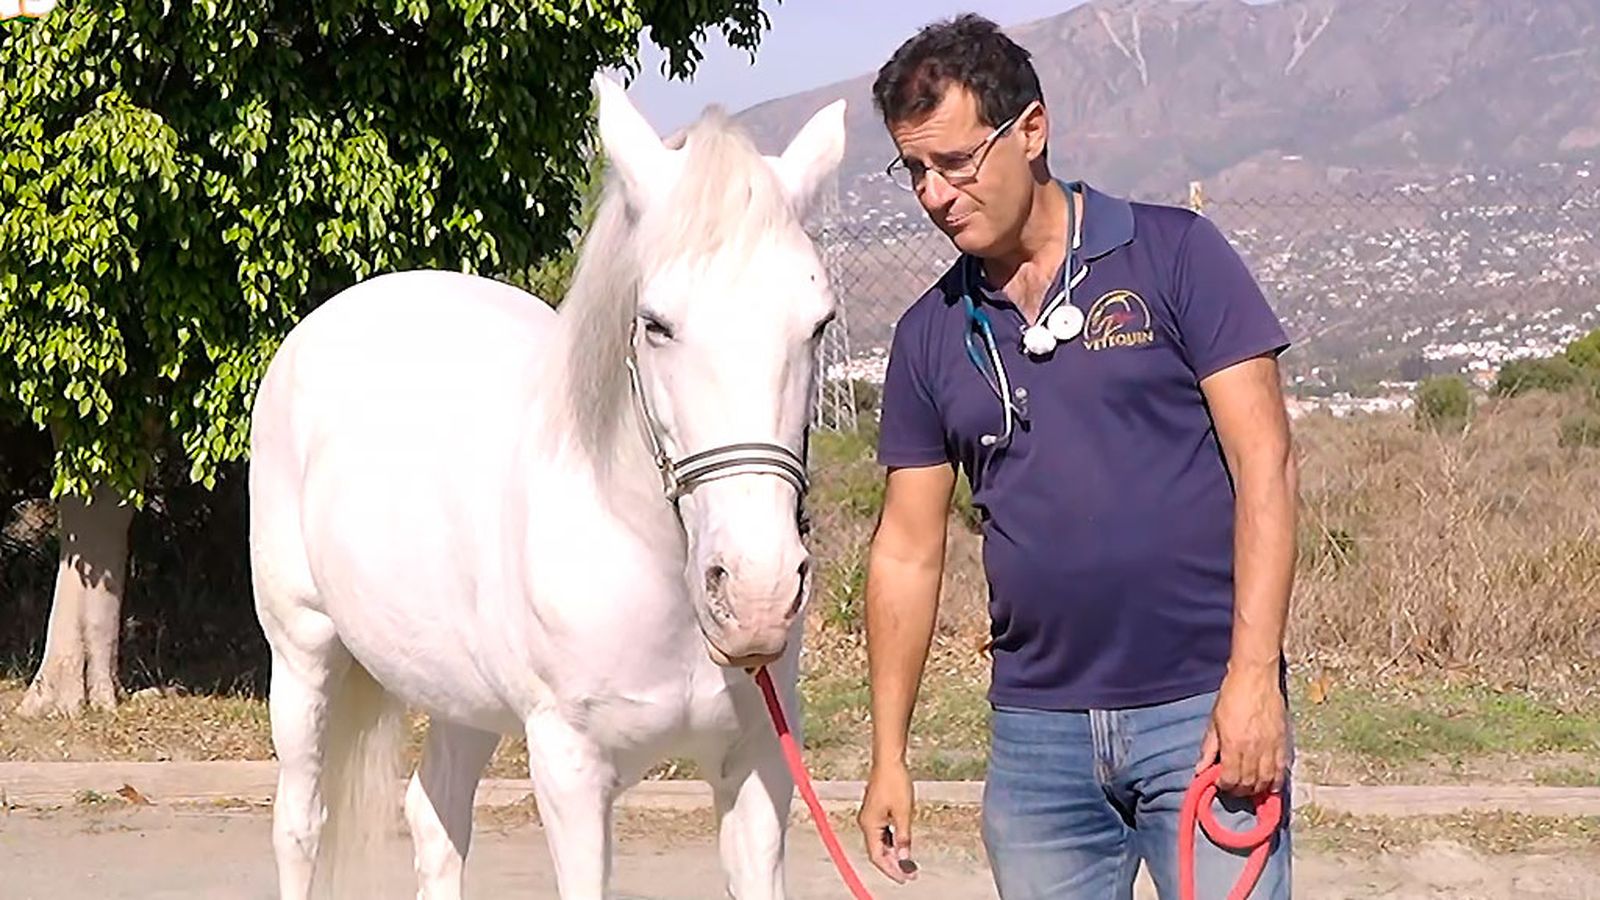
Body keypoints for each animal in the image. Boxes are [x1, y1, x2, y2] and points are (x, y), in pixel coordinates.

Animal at [246, 75, 847, 899]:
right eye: (655, 323)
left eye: (817, 323)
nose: (757, 593)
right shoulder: (569, 768)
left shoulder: (759, 768)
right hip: (303, 654)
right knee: (299, 824)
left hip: (457, 691)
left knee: (435, 818)